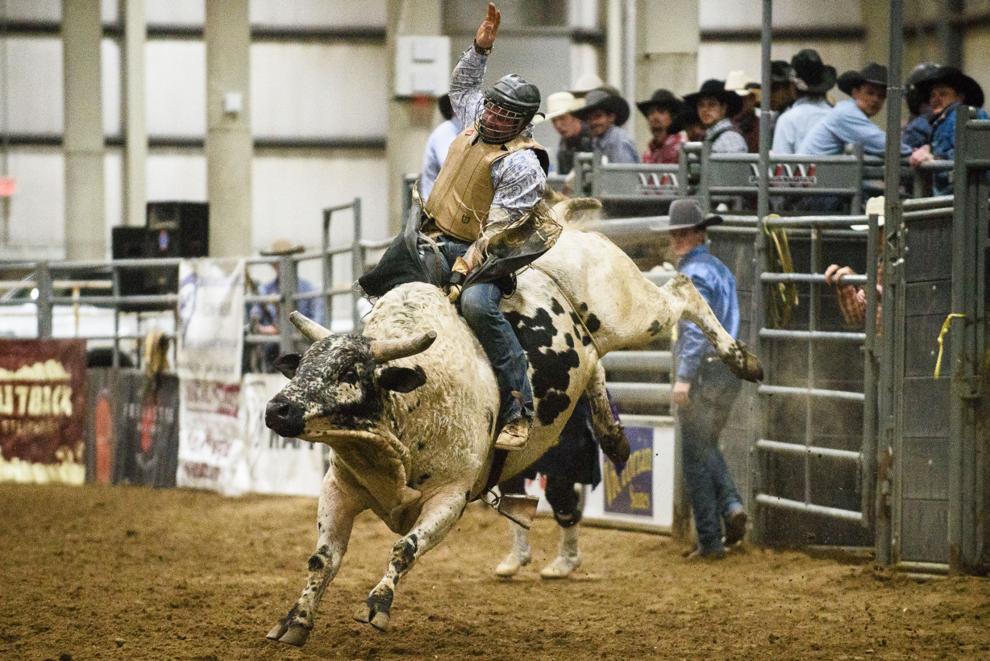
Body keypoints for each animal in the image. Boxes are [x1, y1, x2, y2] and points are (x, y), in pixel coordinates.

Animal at [263, 212, 762, 646]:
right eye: (303, 366)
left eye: (350, 371)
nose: (277, 409)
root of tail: (566, 226)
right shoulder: (340, 486)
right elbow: (322, 559)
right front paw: (295, 620)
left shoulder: (450, 496)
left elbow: (404, 547)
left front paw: (378, 604)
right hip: (596, 343)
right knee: (595, 365)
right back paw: (615, 438)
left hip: (633, 312)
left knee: (682, 290)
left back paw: (745, 361)